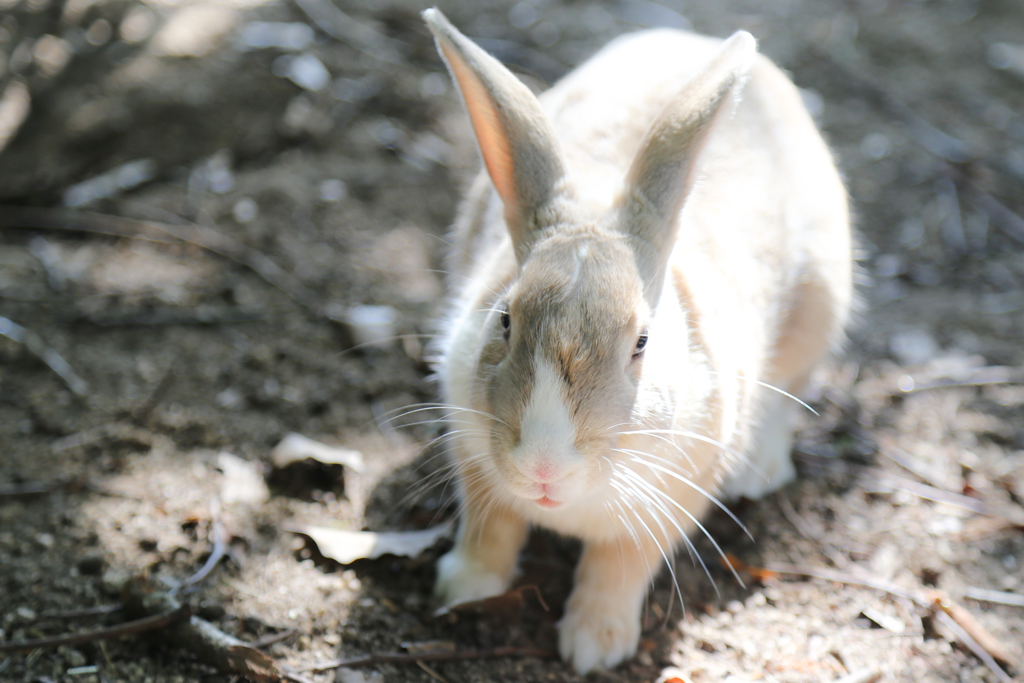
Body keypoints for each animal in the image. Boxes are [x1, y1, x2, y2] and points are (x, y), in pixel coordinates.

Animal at [419, 7, 851, 675]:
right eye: (504, 320)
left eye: (642, 342)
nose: (544, 466)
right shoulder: (475, 460)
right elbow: (488, 531)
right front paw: (462, 589)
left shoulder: (670, 502)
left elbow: (618, 568)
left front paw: (594, 647)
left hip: (825, 299)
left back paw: (760, 469)